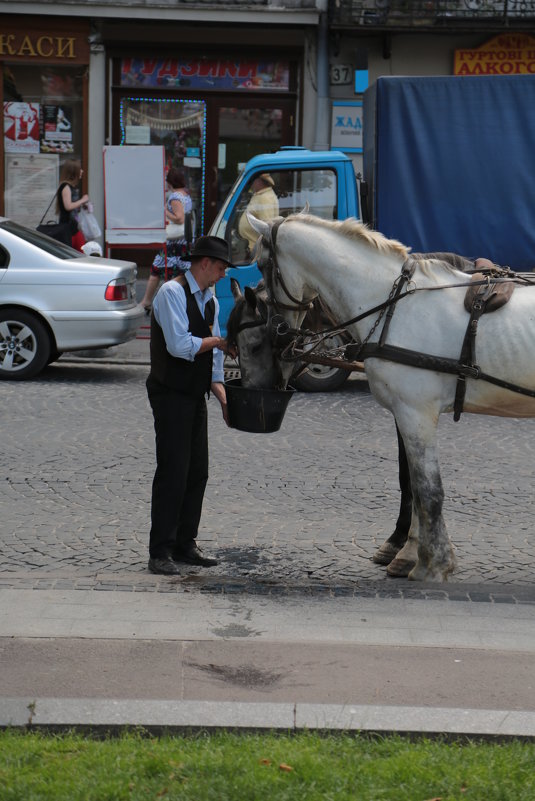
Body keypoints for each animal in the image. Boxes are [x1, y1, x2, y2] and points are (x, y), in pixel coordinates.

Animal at [248, 214, 535, 580]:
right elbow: (413, 485)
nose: (277, 330)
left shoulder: (415, 413)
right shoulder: (405, 413)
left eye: (261, 264)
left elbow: (427, 489)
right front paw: (417, 554)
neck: (393, 303)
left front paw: (433, 563)